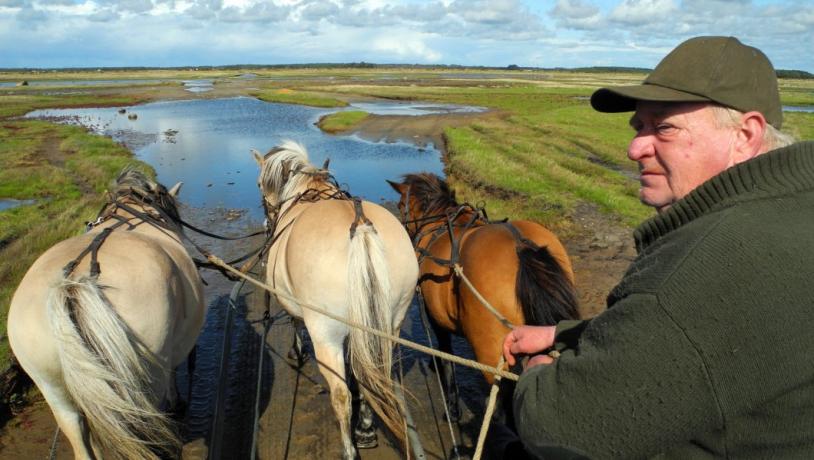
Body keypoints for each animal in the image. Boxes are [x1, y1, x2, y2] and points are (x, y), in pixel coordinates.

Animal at [8, 169, 207, 460]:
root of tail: (71, 284)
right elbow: (173, 371)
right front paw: (177, 401)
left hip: (51, 385)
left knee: (78, 431)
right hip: (146, 382)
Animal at [253, 141, 420, 460]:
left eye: (258, 184)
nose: (267, 220)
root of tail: (361, 226)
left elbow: (295, 322)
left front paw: (295, 351)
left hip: (325, 334)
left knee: (340, 396)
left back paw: (349, 448)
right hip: (389, 324)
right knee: (373, 375)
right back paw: (365, 429)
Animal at [388, 172, 580, 420]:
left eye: (401, 204)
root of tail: (522, 245)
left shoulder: (435, 317)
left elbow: (446, 353)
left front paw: (452, 406)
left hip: (491, 352)